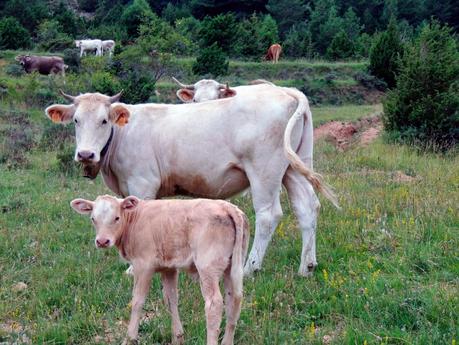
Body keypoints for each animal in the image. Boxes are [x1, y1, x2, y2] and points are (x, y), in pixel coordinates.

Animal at [46, 86, 340, 276]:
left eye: (104, 120)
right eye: (76, 120)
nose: (85, 153)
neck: (122, 135)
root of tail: (286, 91)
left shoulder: (142, 183)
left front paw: (133, 268)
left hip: (264, 169)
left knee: (269, 215)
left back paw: (250, 268)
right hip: (294, 166)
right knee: (307, 208)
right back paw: (307, 266)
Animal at [71, 195, 250, 344]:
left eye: (116, 218)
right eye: (93, 219)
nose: (102, 241)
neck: (134, 220)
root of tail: (227, 206)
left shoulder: (143, 266)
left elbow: (137, 301)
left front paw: (130, 338)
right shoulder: (168, 268)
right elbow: (171, 299)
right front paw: (177, 337)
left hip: (207, 267)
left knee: (214, 304)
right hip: (232, 267)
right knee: (234, 300)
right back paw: (227, 341)